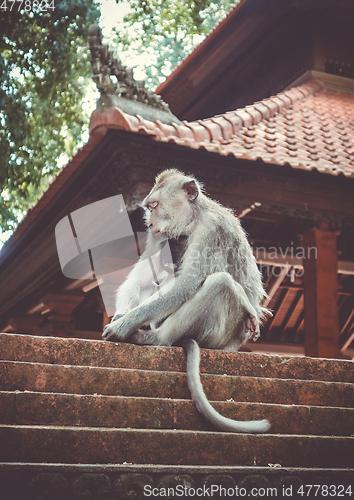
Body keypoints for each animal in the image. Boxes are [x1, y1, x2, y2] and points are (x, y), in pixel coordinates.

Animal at [102, 169, 272, 434]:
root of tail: (235, 345)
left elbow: (187, 283)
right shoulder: (159, 239)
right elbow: (140, 280)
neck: (193, 219)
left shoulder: (211, 230)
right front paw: (121, 316)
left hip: (219, 336)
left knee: (220, 282)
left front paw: (122, 325)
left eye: (154, 205)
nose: (149, 224)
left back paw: (156, 337)